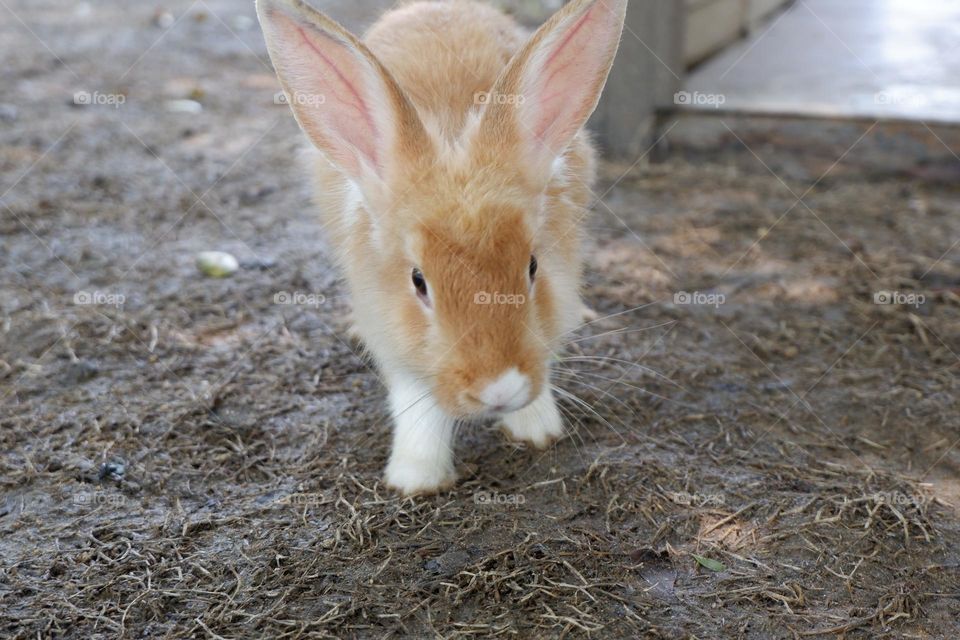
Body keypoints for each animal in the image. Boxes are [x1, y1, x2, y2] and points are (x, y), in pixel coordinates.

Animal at [256, 0, 627, 495]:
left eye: (532, 266)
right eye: (419, 282)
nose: (499, 389)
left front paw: (537, 430)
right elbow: (416, 399)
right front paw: (416, 479)